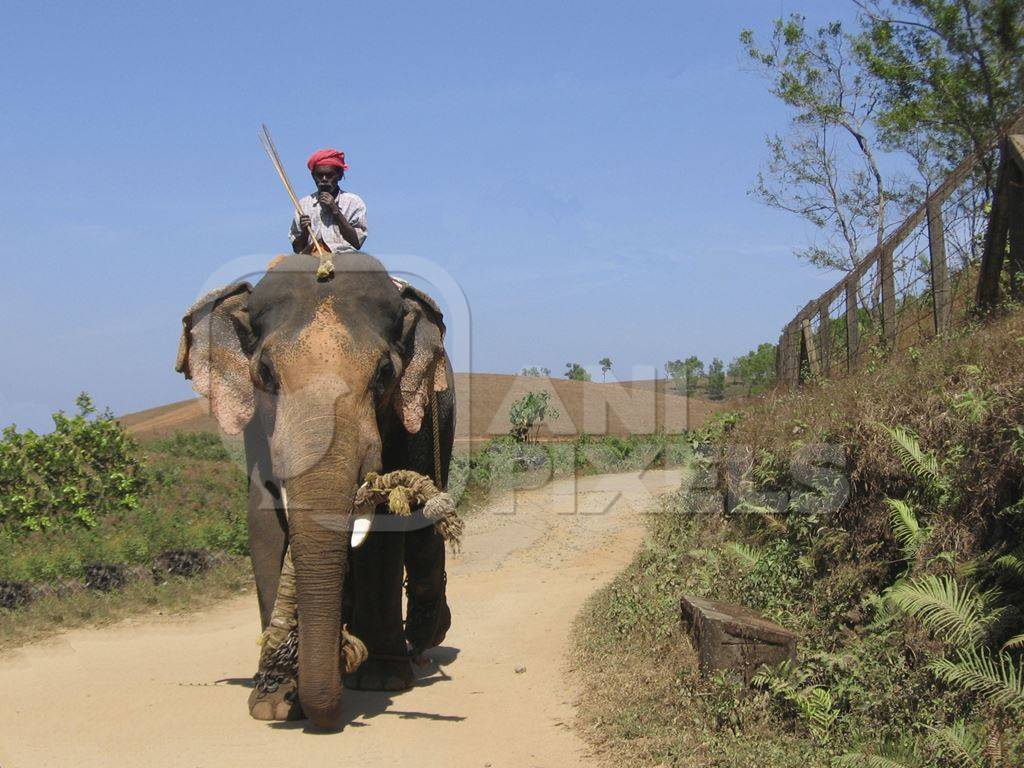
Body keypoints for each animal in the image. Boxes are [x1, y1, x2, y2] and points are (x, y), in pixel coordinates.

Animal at [176, 250, 456, 729]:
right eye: (265, 374)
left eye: (385, 373)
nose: (326, 716)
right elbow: (265, 523)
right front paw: (274, 701)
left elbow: (383, 527)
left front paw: (380, 681)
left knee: (422, 533)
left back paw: (424, 637)